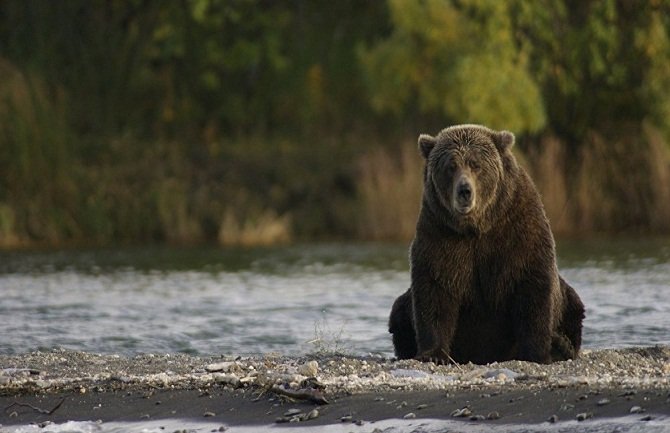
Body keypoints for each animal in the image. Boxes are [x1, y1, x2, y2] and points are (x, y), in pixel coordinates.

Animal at [392, 123, 584, 362]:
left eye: (476, 165)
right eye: (451, 166)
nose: (464, 191)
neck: (477, 226)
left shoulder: (518, 230)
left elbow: (533, 288)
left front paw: (537, 353)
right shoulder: (440, 233)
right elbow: (435, 290)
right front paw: (433, 354)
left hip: (568, 301)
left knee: (573, 306)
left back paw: (561, 345)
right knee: (399, 311)